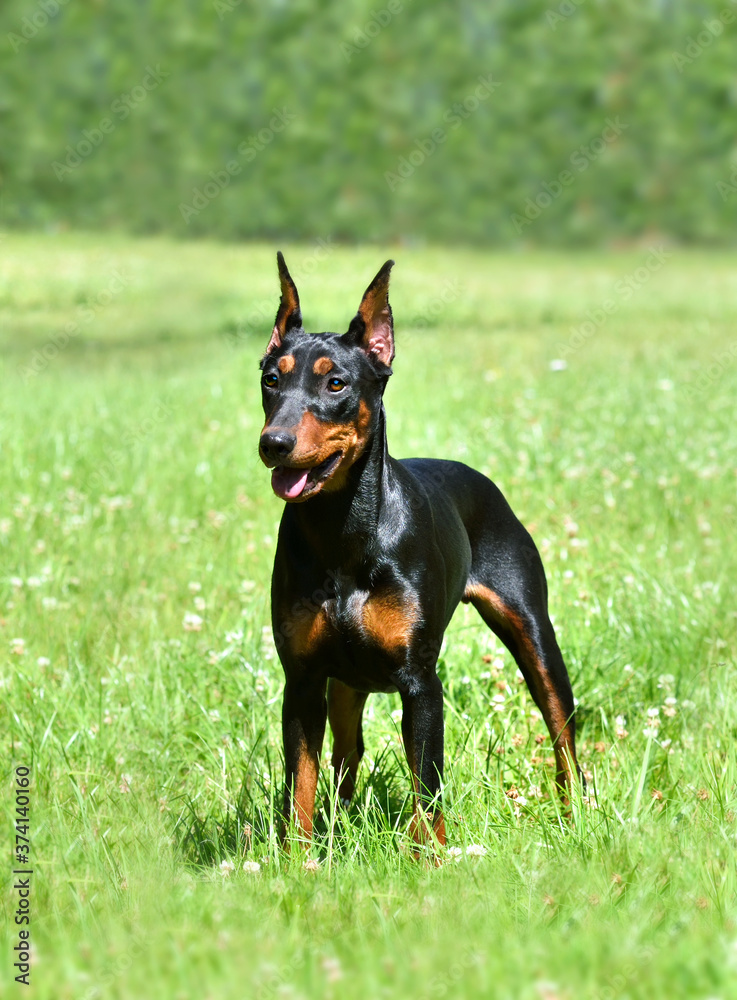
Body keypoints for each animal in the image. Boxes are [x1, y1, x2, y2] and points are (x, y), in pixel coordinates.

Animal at [258, 254, 580, 848]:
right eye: (271, 379)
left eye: (336, 383)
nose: (274, 444)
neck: (343, 532)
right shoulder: (304, 679)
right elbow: (301, 789)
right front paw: (298, 859)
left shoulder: (420, 683)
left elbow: (427, 787)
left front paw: (431, 857)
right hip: (345, 683)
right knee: (348, 753)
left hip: (533, 633)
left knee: (563, 731)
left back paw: (578, 815)